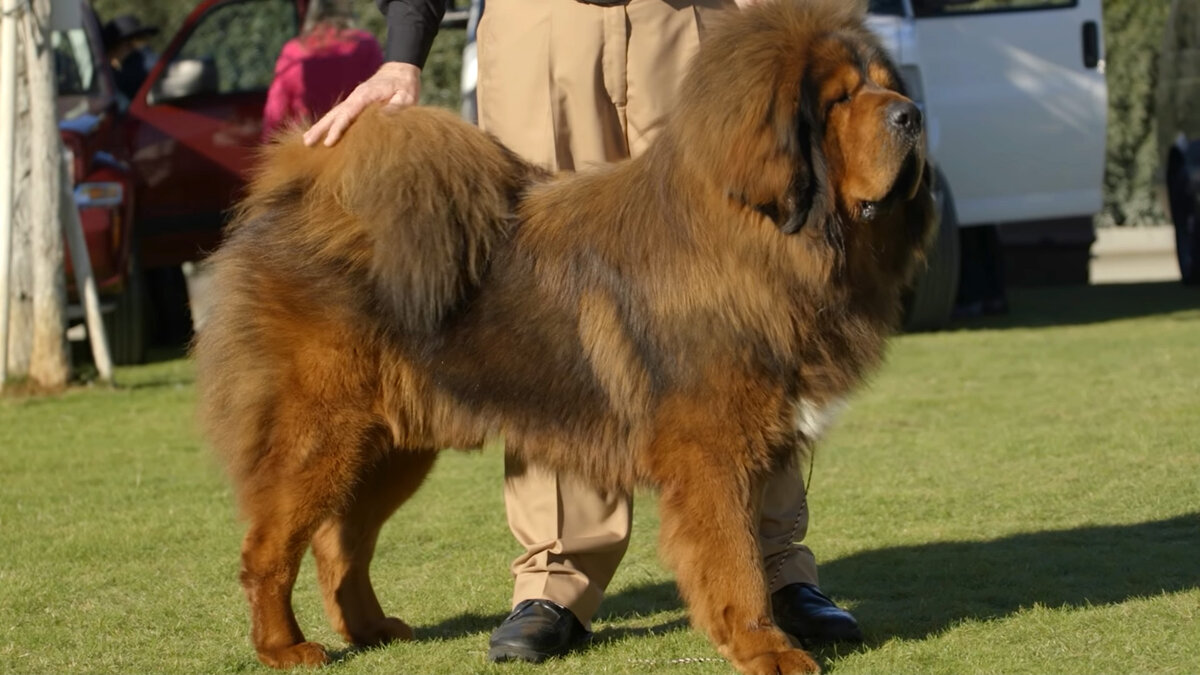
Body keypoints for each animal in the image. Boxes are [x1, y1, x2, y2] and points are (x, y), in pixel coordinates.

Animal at [192, 2, 931, 667]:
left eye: (883, 83)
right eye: (840, 99)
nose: (913, 114)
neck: (758, 237)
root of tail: (297, 195)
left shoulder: (765, 436)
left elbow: (760, 545)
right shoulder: (713, 453)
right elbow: (736, 560)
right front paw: (765, 648)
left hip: (391, 447)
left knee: (340, 543)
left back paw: (371, 629)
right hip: (320, 437)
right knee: (268, 549)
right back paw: (284, 647)